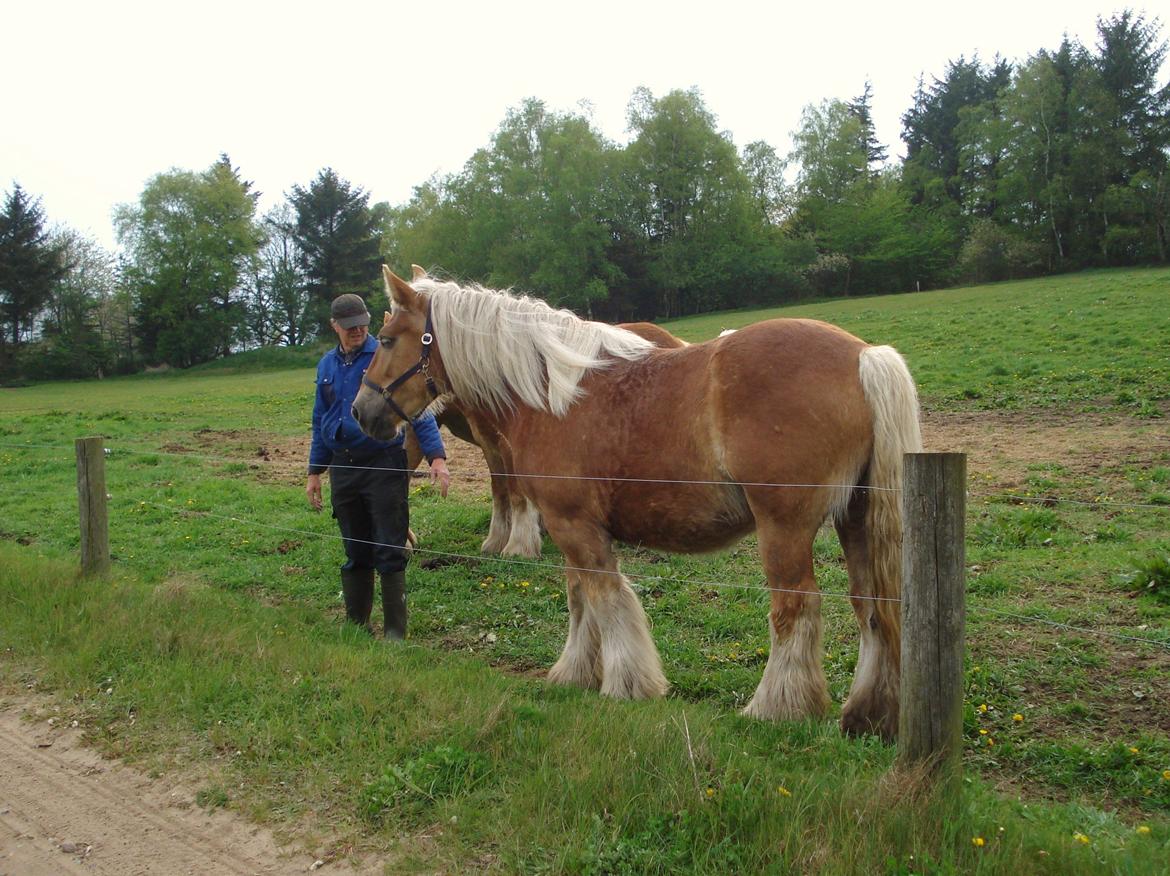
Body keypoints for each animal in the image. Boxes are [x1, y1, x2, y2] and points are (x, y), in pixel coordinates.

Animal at [351, 266, 917, 739]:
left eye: (386, 338)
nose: (361, 412)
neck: (550, 393)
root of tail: (865, 356)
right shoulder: (570, 527)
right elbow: (581, 600)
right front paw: (575, 673)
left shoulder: (574, 526)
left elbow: (607, 600)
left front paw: (624, 684)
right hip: (855, 519)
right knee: (872, 607)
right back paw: (868, 714)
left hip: (785, 527)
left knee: (795, 608)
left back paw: (774, 708)